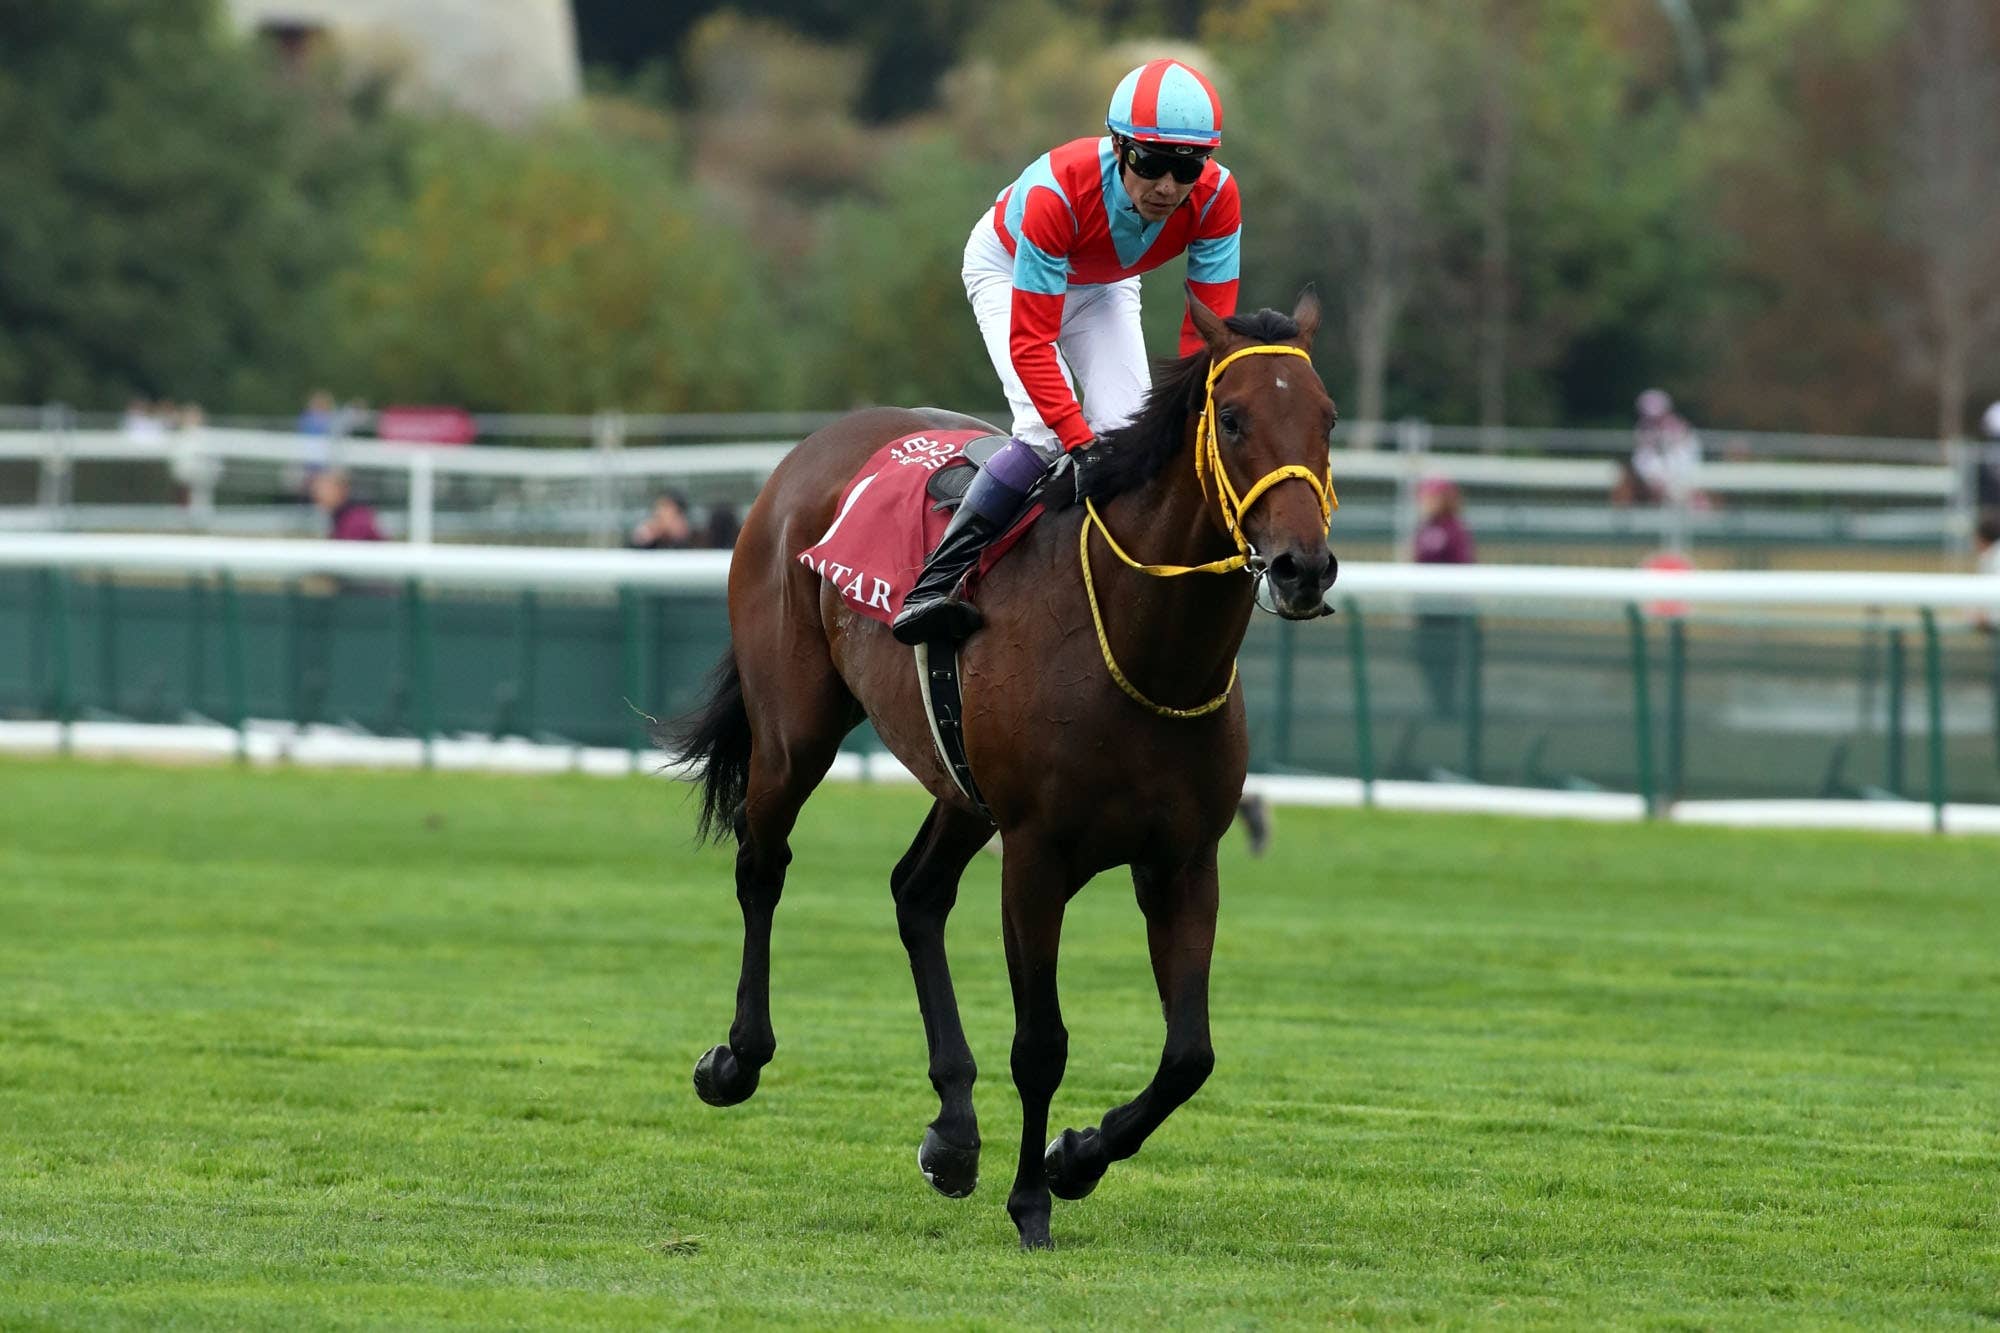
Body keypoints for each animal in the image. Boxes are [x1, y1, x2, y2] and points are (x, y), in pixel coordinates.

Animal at [672, 290, 1344, 1248]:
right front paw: (1032, 1200)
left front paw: (1075, 1157)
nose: (1302, 567)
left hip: (961, 785)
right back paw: (737, 1056)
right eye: (1236, 419)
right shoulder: (1034, 858)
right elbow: (1042, 1044)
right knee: (762, 864)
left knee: (916, 892)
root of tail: (812, 450)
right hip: (795, 730)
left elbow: (1189, 1054)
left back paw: (953, 1133)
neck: (1142, 643)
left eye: (1326, 418)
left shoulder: (1183, 860)